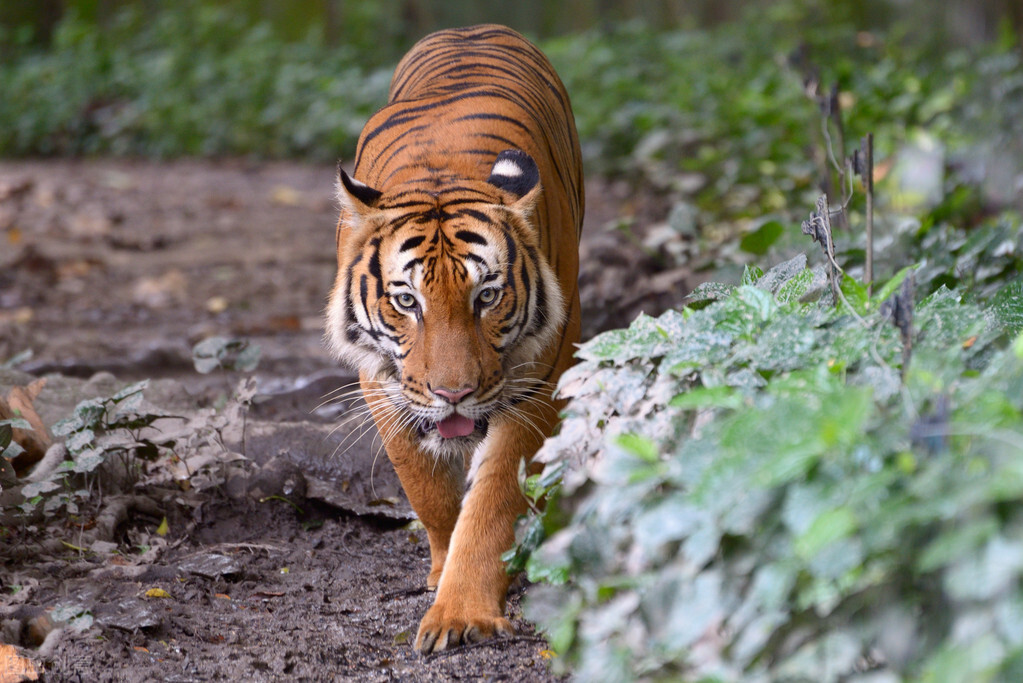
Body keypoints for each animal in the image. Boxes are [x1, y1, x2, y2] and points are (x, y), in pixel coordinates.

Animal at [327, 24, 585, 654]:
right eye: (406, 302)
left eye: (486, 297)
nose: (454, 396)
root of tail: (472, 27)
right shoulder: (382, 380)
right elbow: (428, 488)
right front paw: (442, 570)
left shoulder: (537, 379)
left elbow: (493, 500)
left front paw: (462, 612)